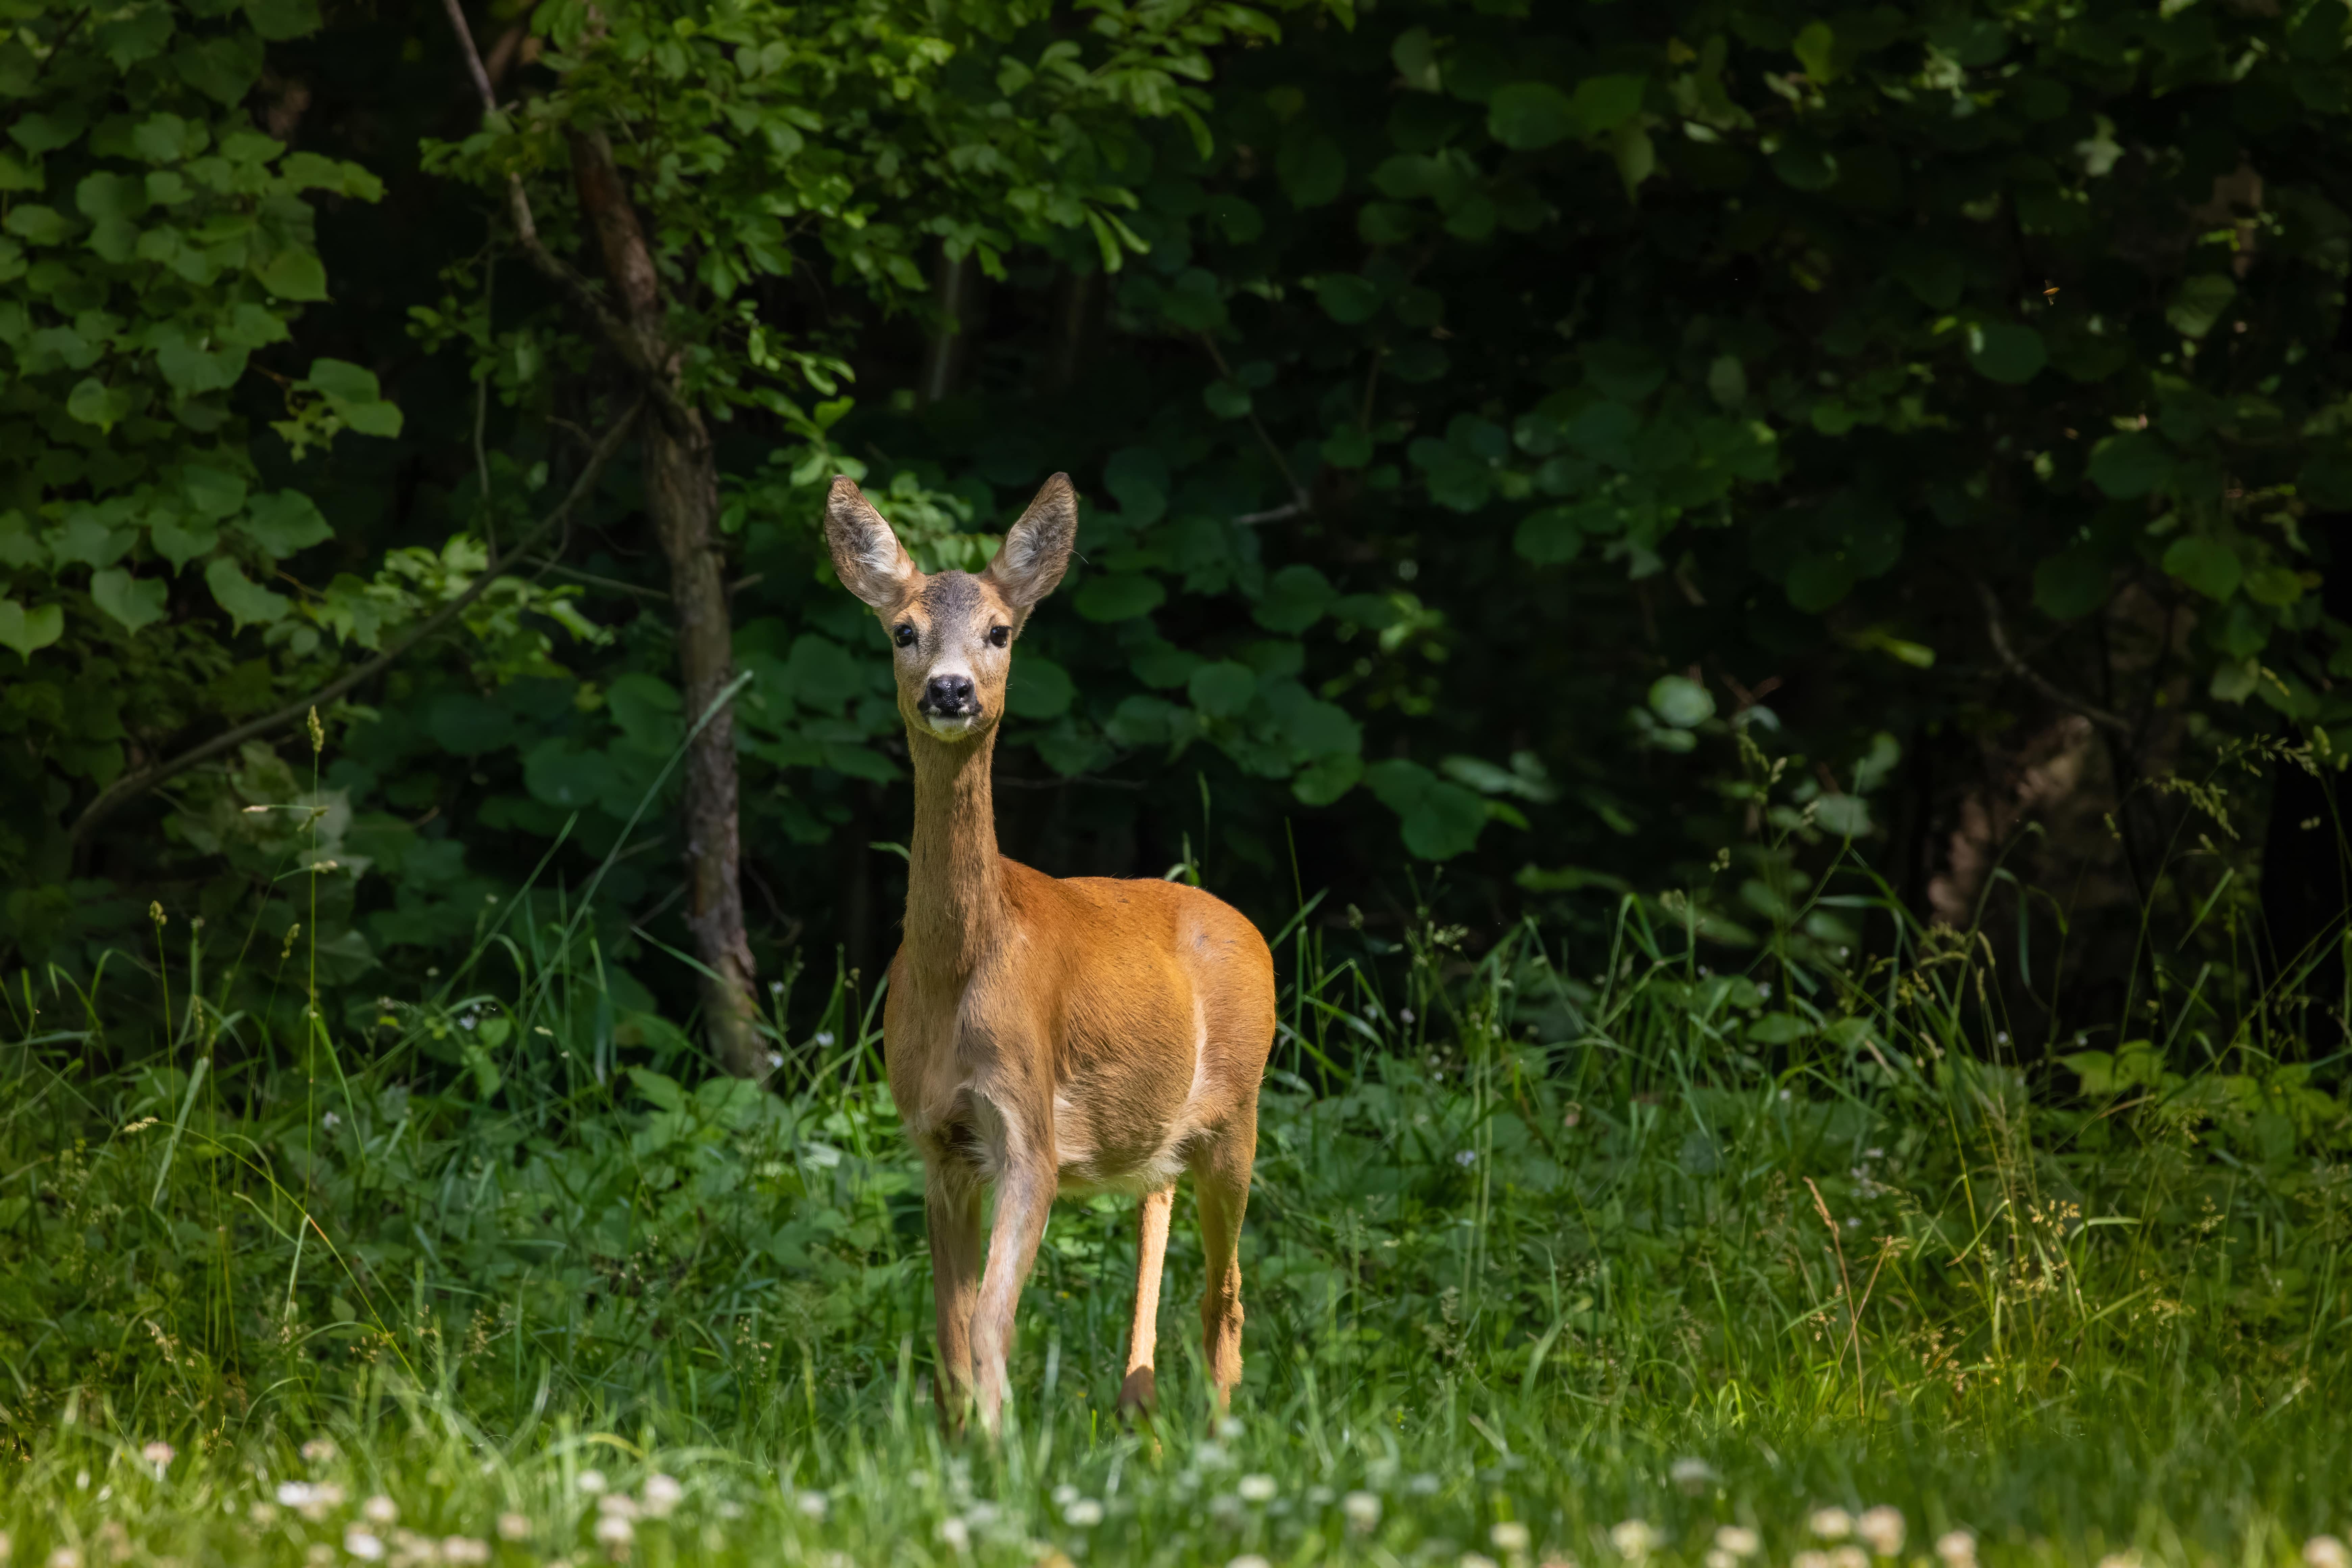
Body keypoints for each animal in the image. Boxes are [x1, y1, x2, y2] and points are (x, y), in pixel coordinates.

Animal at [822, 471, 1277, 1435]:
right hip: (1162, 1129)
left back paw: (1218, 1431)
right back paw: (1138, 1403)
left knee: (1226, 1292)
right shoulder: (938, 1139)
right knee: (1158, 1201)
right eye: (903, 630)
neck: (958, 969)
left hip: (1241, 1107)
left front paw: (1002, 1449)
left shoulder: (1027, 1126)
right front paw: (959, 1445)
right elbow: (950, 1331)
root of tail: (1244, 922)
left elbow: (992, 1322)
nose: (951, 690)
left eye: (999, 630)